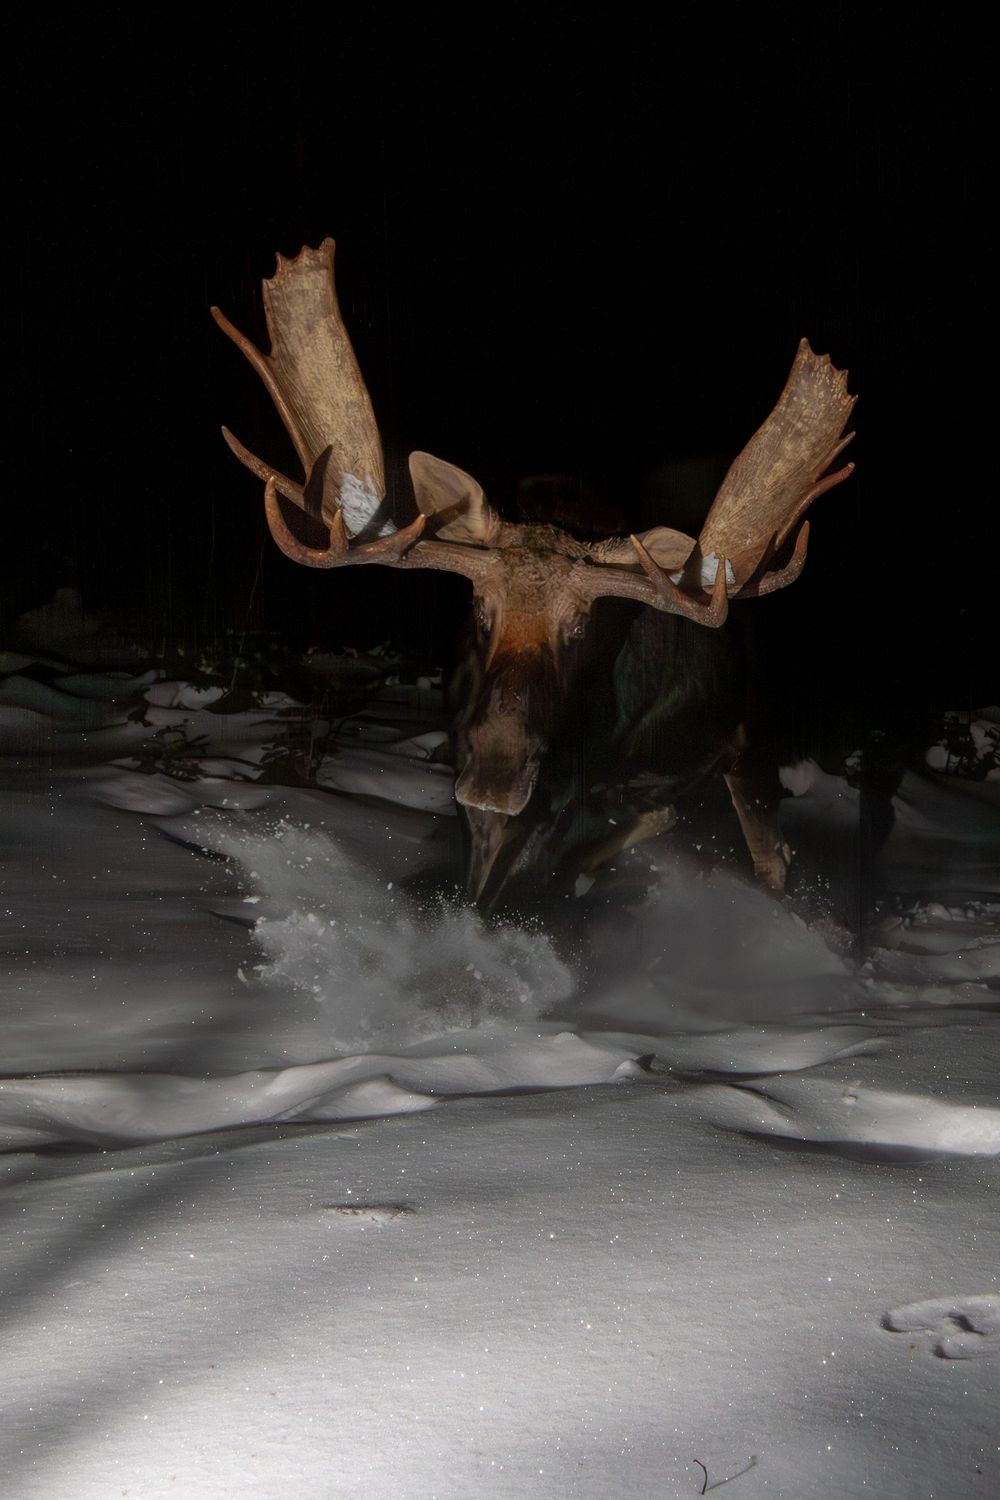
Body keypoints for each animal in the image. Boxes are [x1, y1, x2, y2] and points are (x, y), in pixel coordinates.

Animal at [212, 239, 855, 909]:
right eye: (479, 609)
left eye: (582, 626)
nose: (496, 776)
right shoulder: (480, 772)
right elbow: (477, 888)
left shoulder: (574, 784)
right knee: (657, 813)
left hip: (751, 737)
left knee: (752, 846)